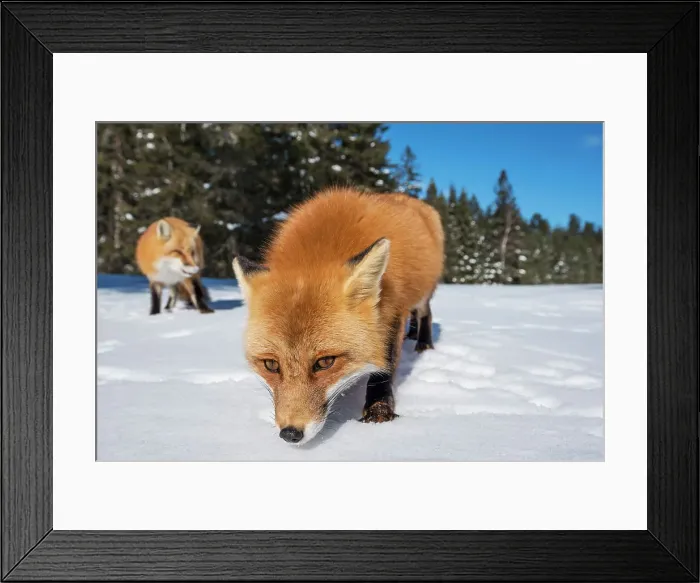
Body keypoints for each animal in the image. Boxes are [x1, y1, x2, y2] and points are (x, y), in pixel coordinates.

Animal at [232, 187, 444, 445]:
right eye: (271, 365)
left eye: (325, 362)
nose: (290, 434)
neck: (318, 250)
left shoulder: (393, 311)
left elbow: (383, 369)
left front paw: (379, 411)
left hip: (422, 296)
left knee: (426, 314)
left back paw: (424, 343)